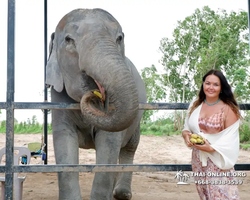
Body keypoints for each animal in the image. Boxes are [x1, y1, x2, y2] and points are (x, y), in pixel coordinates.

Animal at [45, 8, 146, 200]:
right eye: (68, 40)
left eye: (119, 38)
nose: (96, 93)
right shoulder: (58, 97)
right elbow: (64, 140)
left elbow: (109, 143)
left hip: (138, 119)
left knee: (130, 147)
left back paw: (121, 194)